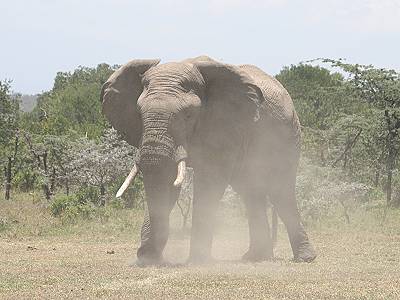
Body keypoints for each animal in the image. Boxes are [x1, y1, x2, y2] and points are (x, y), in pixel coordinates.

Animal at [101, 55, 318, 264]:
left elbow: (209, 182)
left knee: (280, 191)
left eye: (188, 115)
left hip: (286, 137)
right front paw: (147, 258)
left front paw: (197, 261)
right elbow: (168, 182)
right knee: (250, 192)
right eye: (139, 114)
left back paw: (304, 258)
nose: (144, 255)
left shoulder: (222, 125)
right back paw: (257, 257)